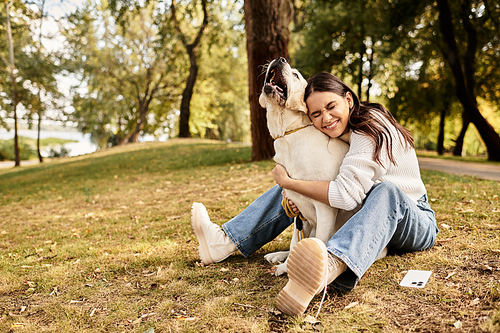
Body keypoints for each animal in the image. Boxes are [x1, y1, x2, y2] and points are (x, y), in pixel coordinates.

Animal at [260, 57, 354, 274]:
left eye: (296, 75)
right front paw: (286, 266)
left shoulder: (325, 208)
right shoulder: (297, 211)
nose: (280, 58)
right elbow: (296, 242)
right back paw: (279, 256)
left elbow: (320, 242)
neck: (288, 134)